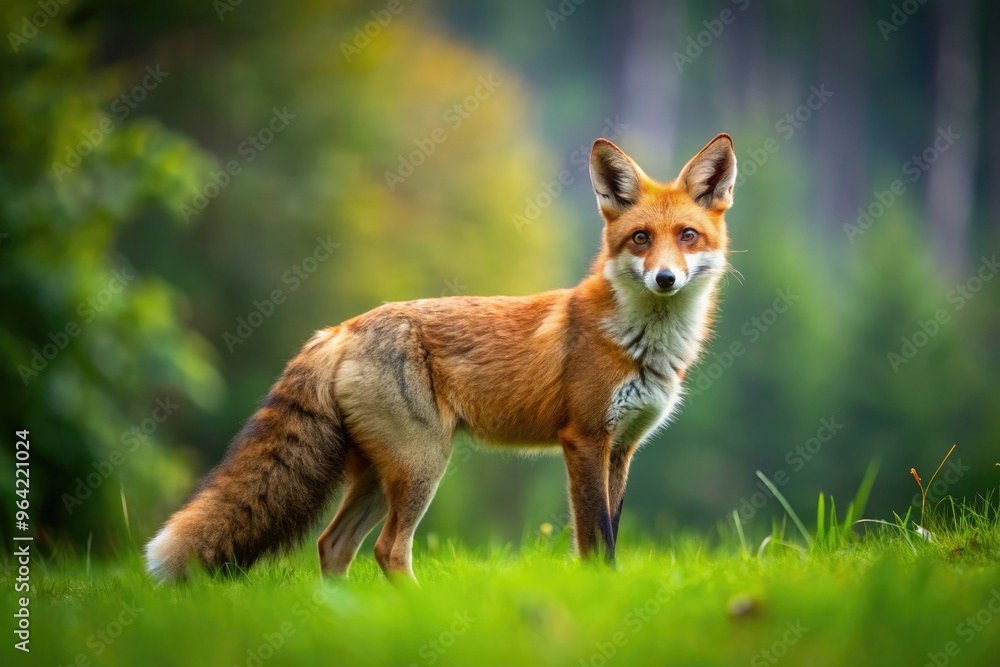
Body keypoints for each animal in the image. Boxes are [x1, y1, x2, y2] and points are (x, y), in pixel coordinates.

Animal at [145, 133, 738, 582]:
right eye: (640, 239)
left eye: (687, 236)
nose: (665, 279)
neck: (641, 342)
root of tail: (341, 328)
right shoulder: (585, 440)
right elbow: (597, 539)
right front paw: (597, 594)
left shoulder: (623, 449)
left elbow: (609, 532)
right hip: (422, 464)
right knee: (386, 549)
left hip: (380, 474)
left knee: (333, 546)